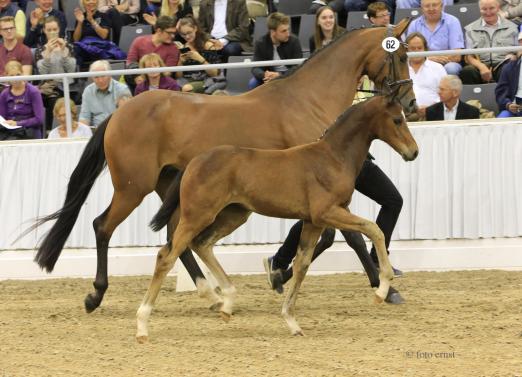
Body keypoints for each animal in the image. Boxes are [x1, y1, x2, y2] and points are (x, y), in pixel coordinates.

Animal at [32, 22, 414, 312]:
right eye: (401, 55)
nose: (410, 101)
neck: (307, 100)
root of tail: (120, 113)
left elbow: (331, 235)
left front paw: (279, 271)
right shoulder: (318, 191)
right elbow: (349, 236)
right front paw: (385, 288)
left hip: (170, 187)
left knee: (174, 236)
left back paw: (211, 294)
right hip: (132, 188)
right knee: (103, 226)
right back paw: (96, 294)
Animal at [136, 94, 416, 340]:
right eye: (397, 120)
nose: (413, 152)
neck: (332, 158)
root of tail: (193, 163)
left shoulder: (313, 221)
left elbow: (302, 264)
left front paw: (292, 322)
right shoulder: (327, 212)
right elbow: (373, 229)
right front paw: (382, 289)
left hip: (233, 215)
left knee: (202, 244)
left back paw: (227, 303)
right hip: (197, 214)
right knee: (167, 255)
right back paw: (142, 326)